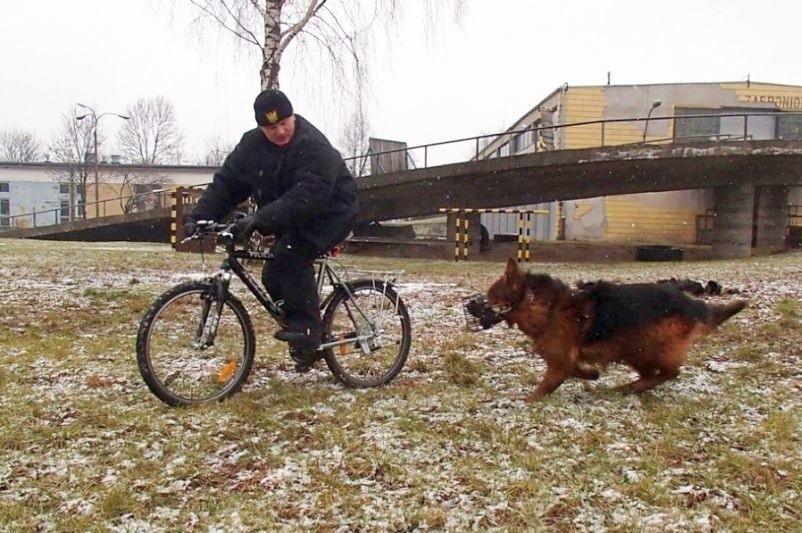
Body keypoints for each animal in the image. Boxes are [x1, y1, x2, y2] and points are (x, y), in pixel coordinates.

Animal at [484, 258, 748, 400]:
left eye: (491, 295)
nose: (478, 304)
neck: (546, 307)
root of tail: (694, 304)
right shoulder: (565, 359)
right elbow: (578, 370)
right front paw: (592, 374)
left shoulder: (560, 360)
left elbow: (548, 384)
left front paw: (527, 401)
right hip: (631, 350)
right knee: (654, 374)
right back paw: (628, 387)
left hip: (647, 346)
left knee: (670, 373)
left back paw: (630, 387)